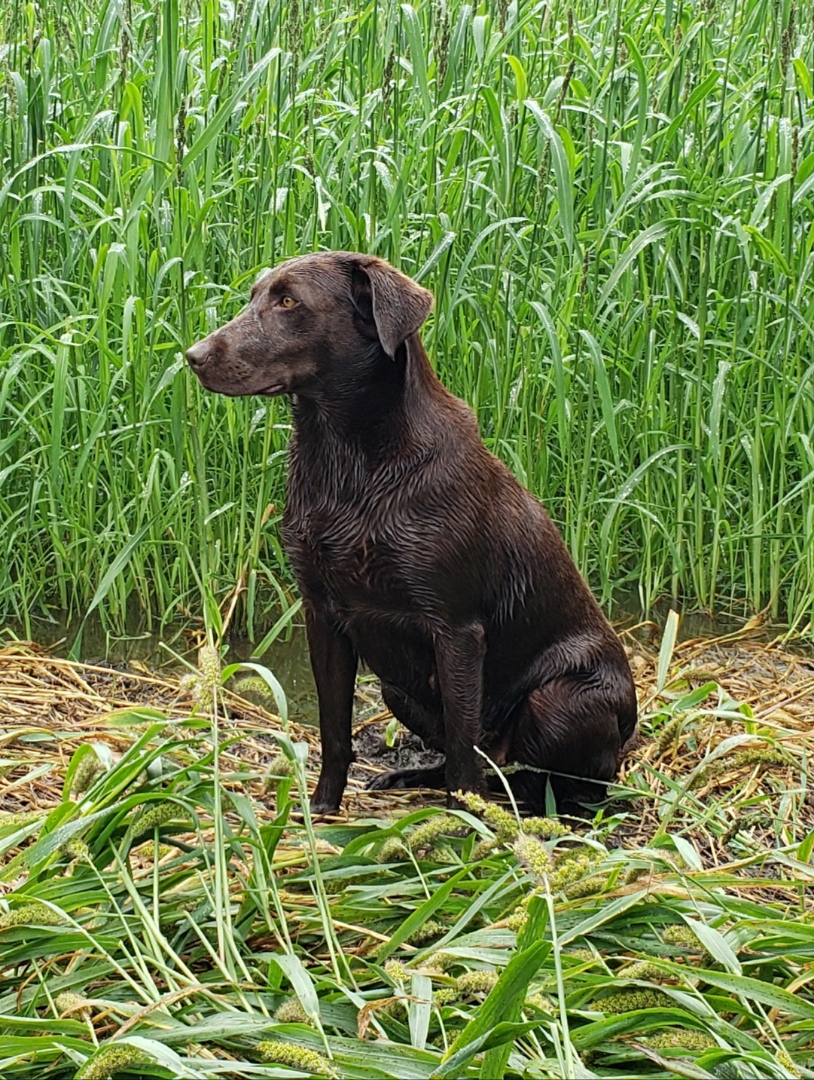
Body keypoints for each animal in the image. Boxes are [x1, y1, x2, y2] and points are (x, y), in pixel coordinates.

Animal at [186, 250, 639, 812]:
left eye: (289, 301)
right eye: (254, 297)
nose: (193, 355)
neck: (347, 463)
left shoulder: (457, 630)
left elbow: (464, 750)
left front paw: (465, 823)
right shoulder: (323, 614)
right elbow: (335, 730)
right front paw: (323, 809)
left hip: (560, 699)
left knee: (557, 782)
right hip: (397, 689)